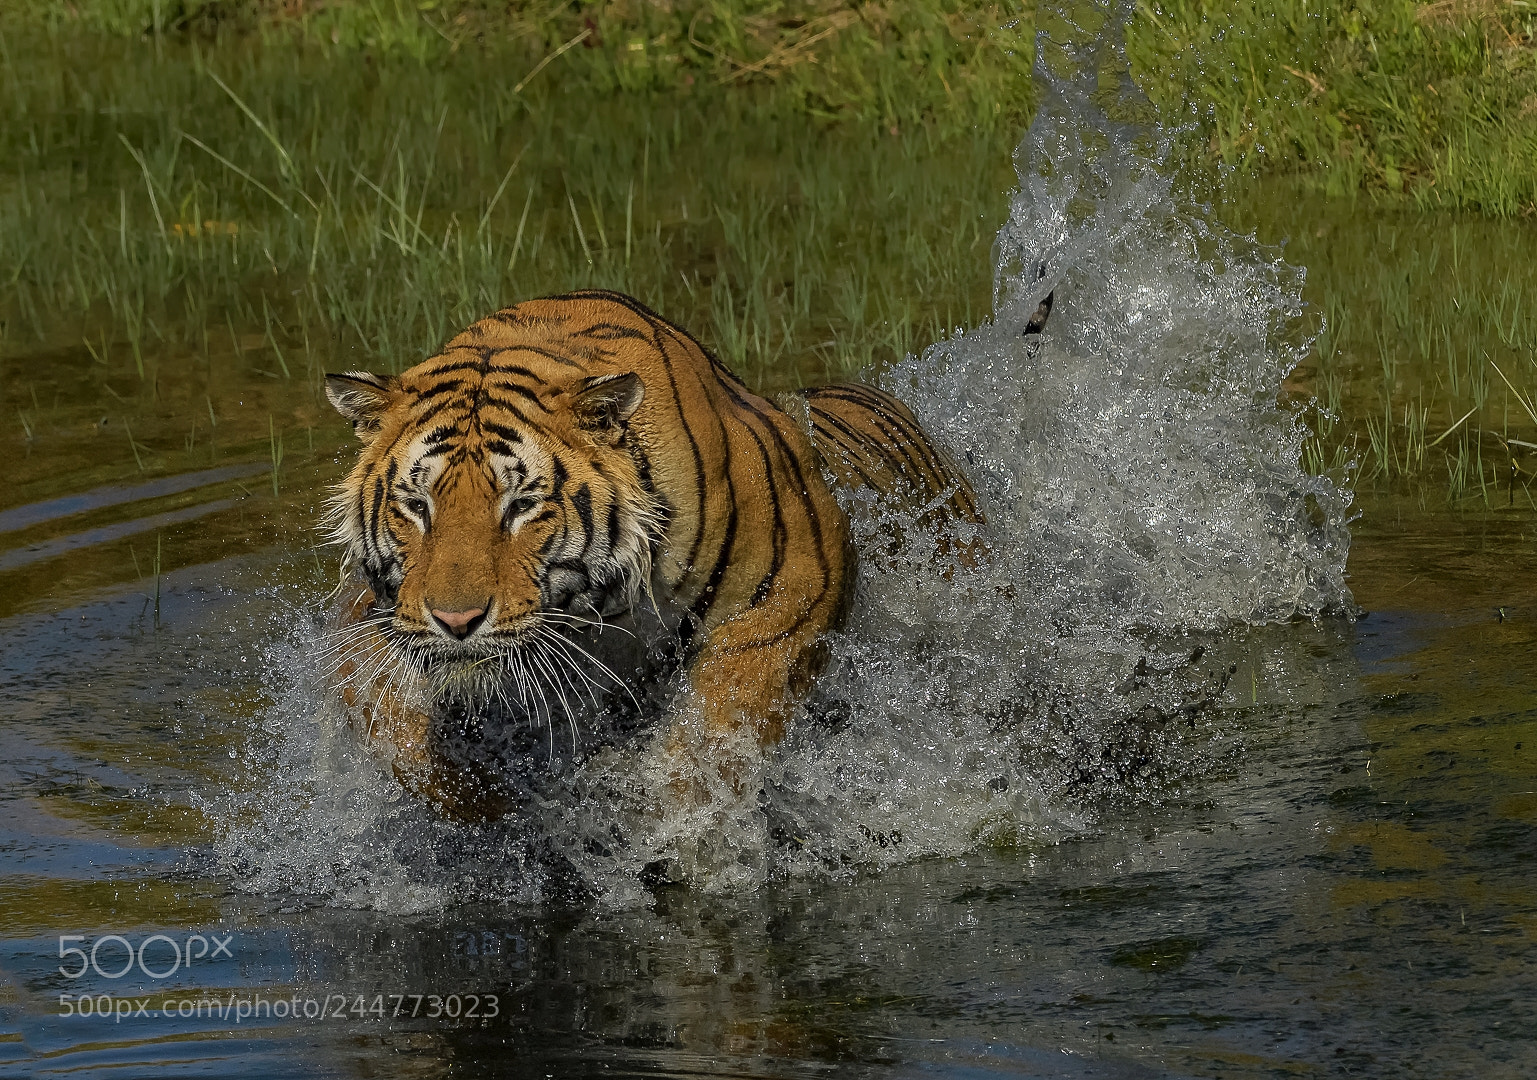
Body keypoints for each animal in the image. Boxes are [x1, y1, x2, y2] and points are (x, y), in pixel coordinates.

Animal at [322, 289, 986, 822]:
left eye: (522, 505)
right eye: (416, 505)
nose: (455, 621)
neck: (597, 613)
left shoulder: (795, 585)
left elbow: (721, 718)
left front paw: (677, 818)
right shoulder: (373, 612)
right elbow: (393, 726)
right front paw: (490, 799)